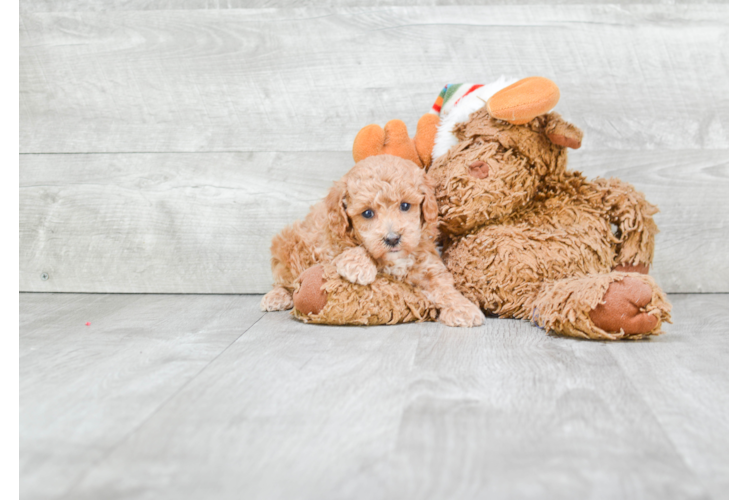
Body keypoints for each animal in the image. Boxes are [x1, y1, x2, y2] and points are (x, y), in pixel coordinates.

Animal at [262, 156, 486, 328]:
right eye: (367, 213)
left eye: (405, 206)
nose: (393, 238)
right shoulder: (328, 246)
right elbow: (352, 249)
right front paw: (358, 265)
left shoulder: (427, 264)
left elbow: (444, 286)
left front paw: (462, 308)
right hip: (290, 245)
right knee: (284, 280)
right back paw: (276, 296)